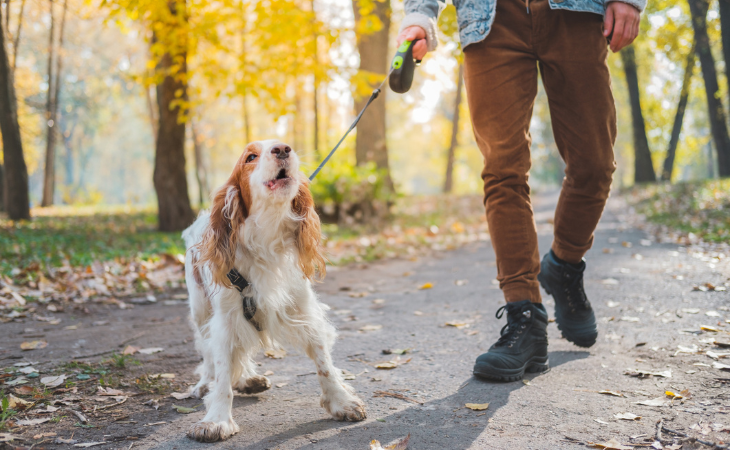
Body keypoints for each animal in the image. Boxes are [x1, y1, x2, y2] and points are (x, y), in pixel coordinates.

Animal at [181, 139, 364, 442]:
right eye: (250, 157)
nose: (282, 149)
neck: (267, 237)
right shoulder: (225, 320)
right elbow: (222, 372)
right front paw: (216, 420)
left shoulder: (304, 310)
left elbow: (324, 362)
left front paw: (341, 401)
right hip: (200, 310)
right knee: (207, 352)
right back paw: (206, 383)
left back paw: (248, 379)